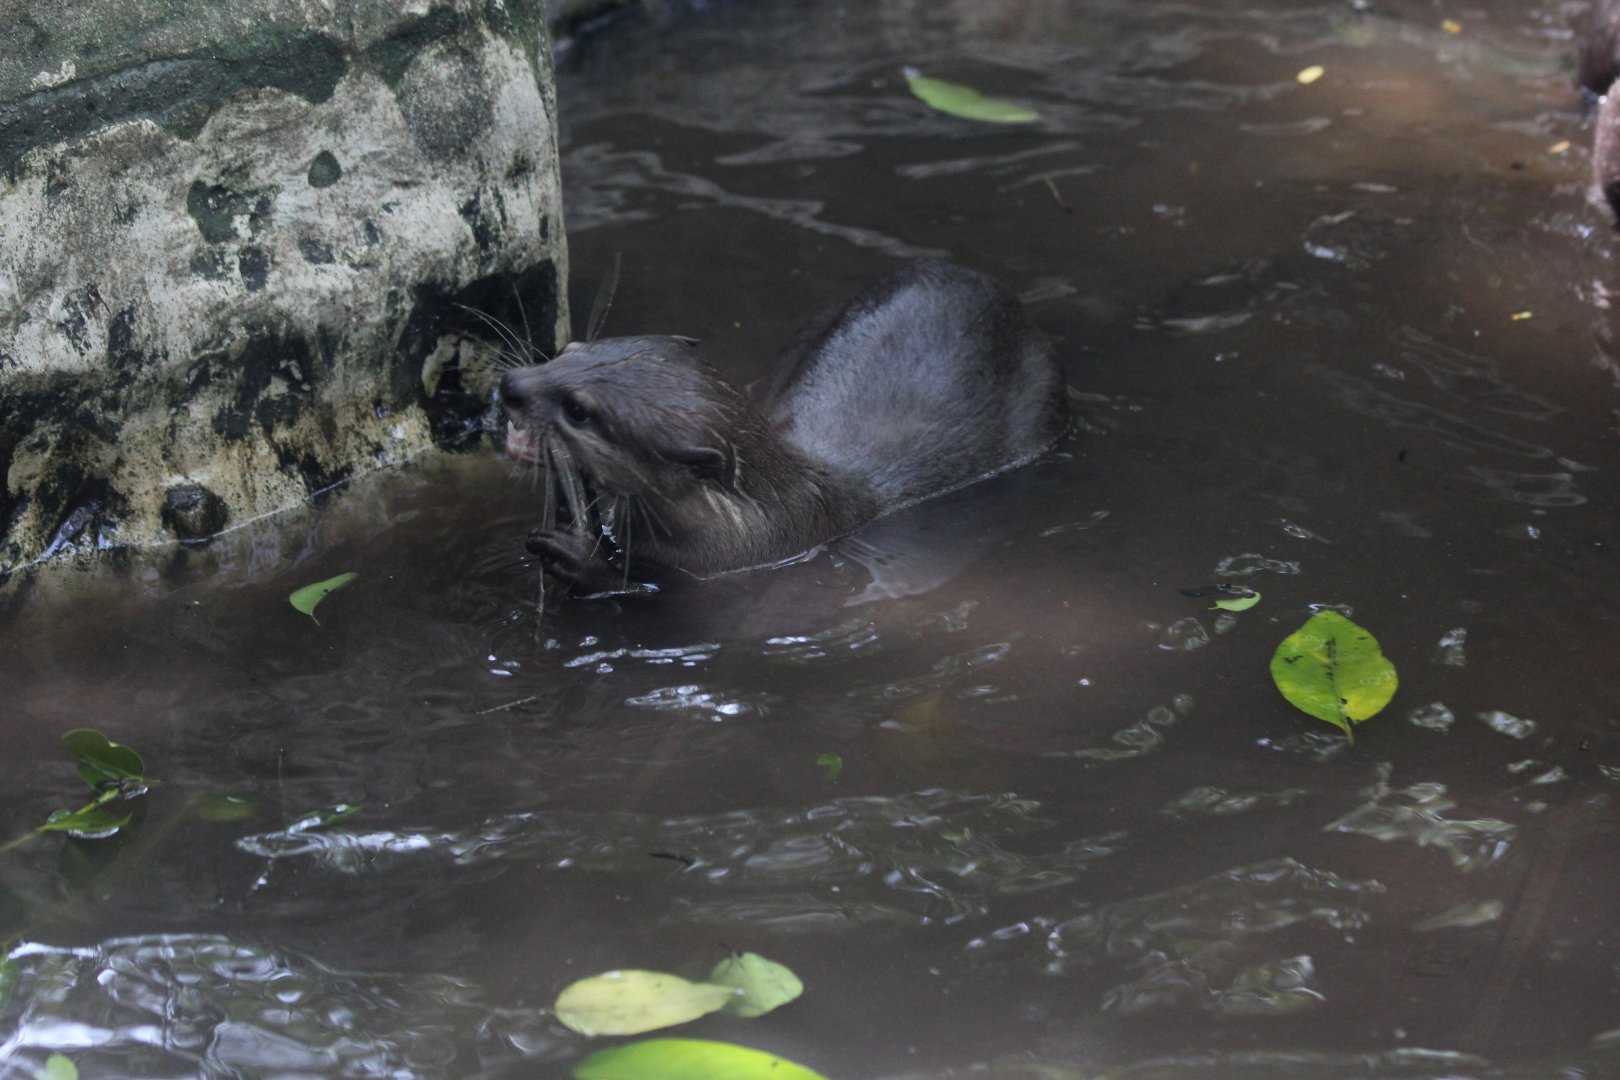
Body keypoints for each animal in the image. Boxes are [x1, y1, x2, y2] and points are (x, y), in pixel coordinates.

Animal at [498, 259, 1068, 593]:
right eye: (569, 351)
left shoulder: (730, 559)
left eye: (578, 409)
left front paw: (576, 555)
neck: (755, 514)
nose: (511, 384)